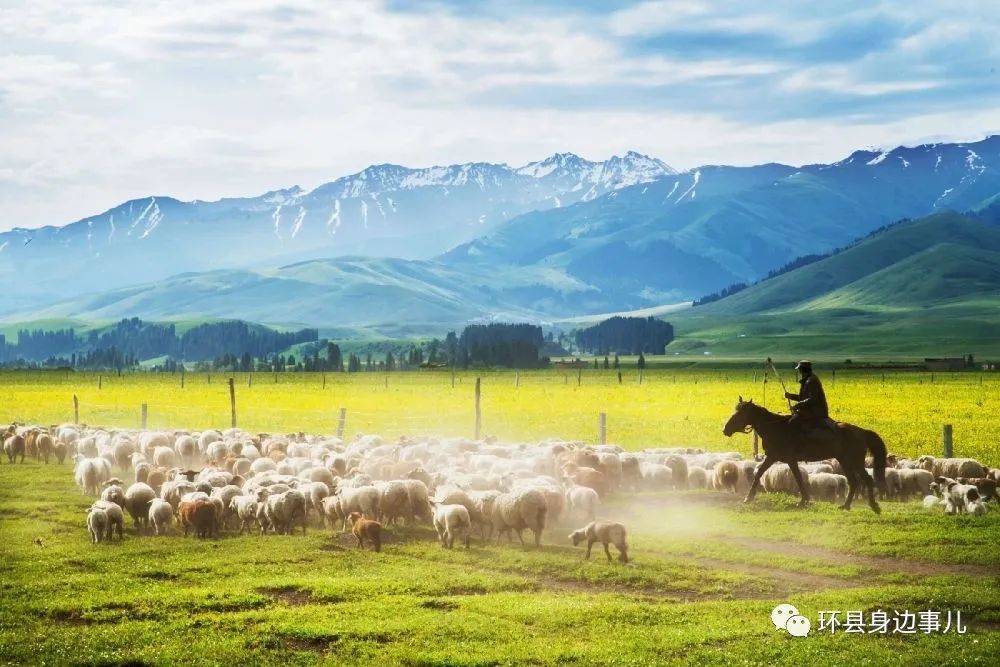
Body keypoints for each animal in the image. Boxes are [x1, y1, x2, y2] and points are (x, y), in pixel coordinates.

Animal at [724, 400, 888, 516]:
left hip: (855, 461)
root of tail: (861, 431)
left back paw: (874, 506)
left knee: (867, 479)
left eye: (739, 414)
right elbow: (760, 473)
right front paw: (749, 497)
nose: (725, 429)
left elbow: (797, 477)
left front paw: (804, 501)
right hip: (844, 461)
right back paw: (846, 506)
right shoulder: (773, 457)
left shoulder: (788, 459)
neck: (775, 428)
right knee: (854, 482)